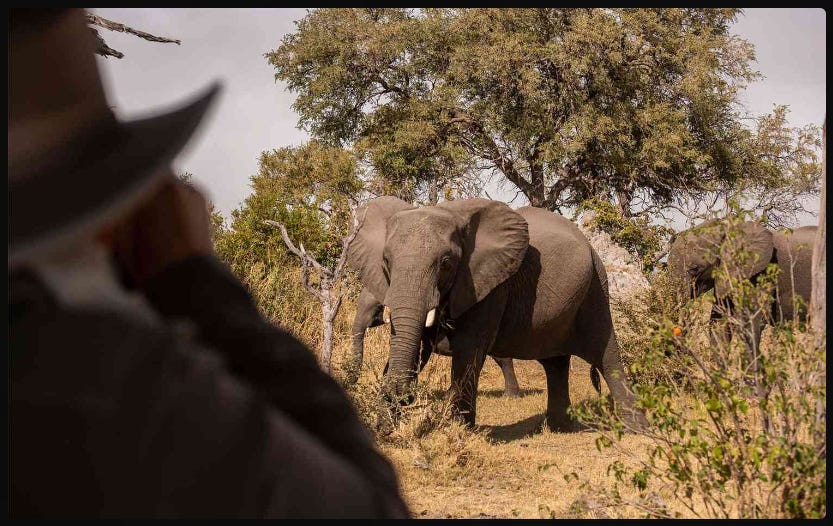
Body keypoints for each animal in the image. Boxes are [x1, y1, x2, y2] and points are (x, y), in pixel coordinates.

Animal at [346, 197, 644, 434]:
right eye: (386, 261)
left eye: (446, 263)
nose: (404, 397)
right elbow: (415, 347)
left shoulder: (487, 284)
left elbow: (468, 353)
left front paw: (459, 432)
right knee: (555, 363)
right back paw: (557, 428)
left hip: (596, 285)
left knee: (606, 354)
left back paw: (636, 430)